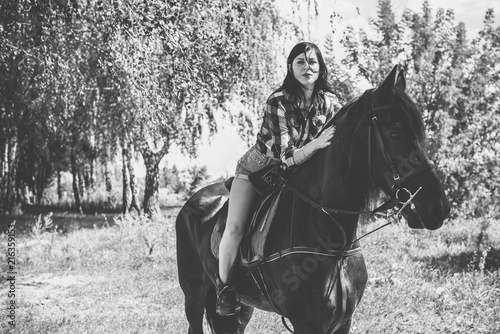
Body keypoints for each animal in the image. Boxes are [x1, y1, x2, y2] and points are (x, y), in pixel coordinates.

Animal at [177, 66, 454, 334]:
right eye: (396, 133)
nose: (437, 208)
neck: (332, 241)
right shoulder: (307, 323)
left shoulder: (343, 321)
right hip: (194, 295)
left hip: (241, 309)